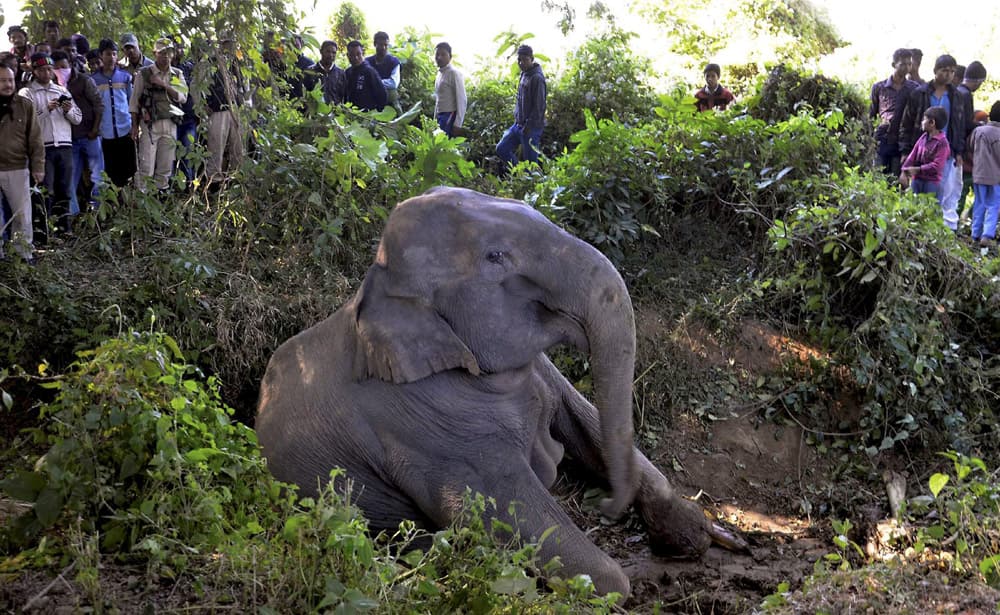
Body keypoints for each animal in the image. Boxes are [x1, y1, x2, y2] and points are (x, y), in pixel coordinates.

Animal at [254, 186, 716, 596]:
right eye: (495, 257)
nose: (604, 508)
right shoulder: (427, 429)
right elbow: (511, 516)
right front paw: (619, 581)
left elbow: (583, 417)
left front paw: (696, 533)